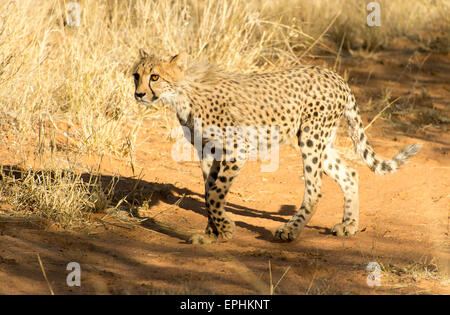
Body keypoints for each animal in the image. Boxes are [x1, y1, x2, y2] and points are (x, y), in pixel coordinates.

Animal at [132, 50, 420, 246]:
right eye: (136, 75)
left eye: (155, 77)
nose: (139, 94)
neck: (183, 93)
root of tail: (334, 75)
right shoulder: (207, 152)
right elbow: (208, 192)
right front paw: (211, 234)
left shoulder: (236, 149)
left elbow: (214, 195)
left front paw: (225, 230)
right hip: (320, 141)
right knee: (349, 173)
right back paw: (349, 224)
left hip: (311, 139)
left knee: (315, 187)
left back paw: (291, 230)